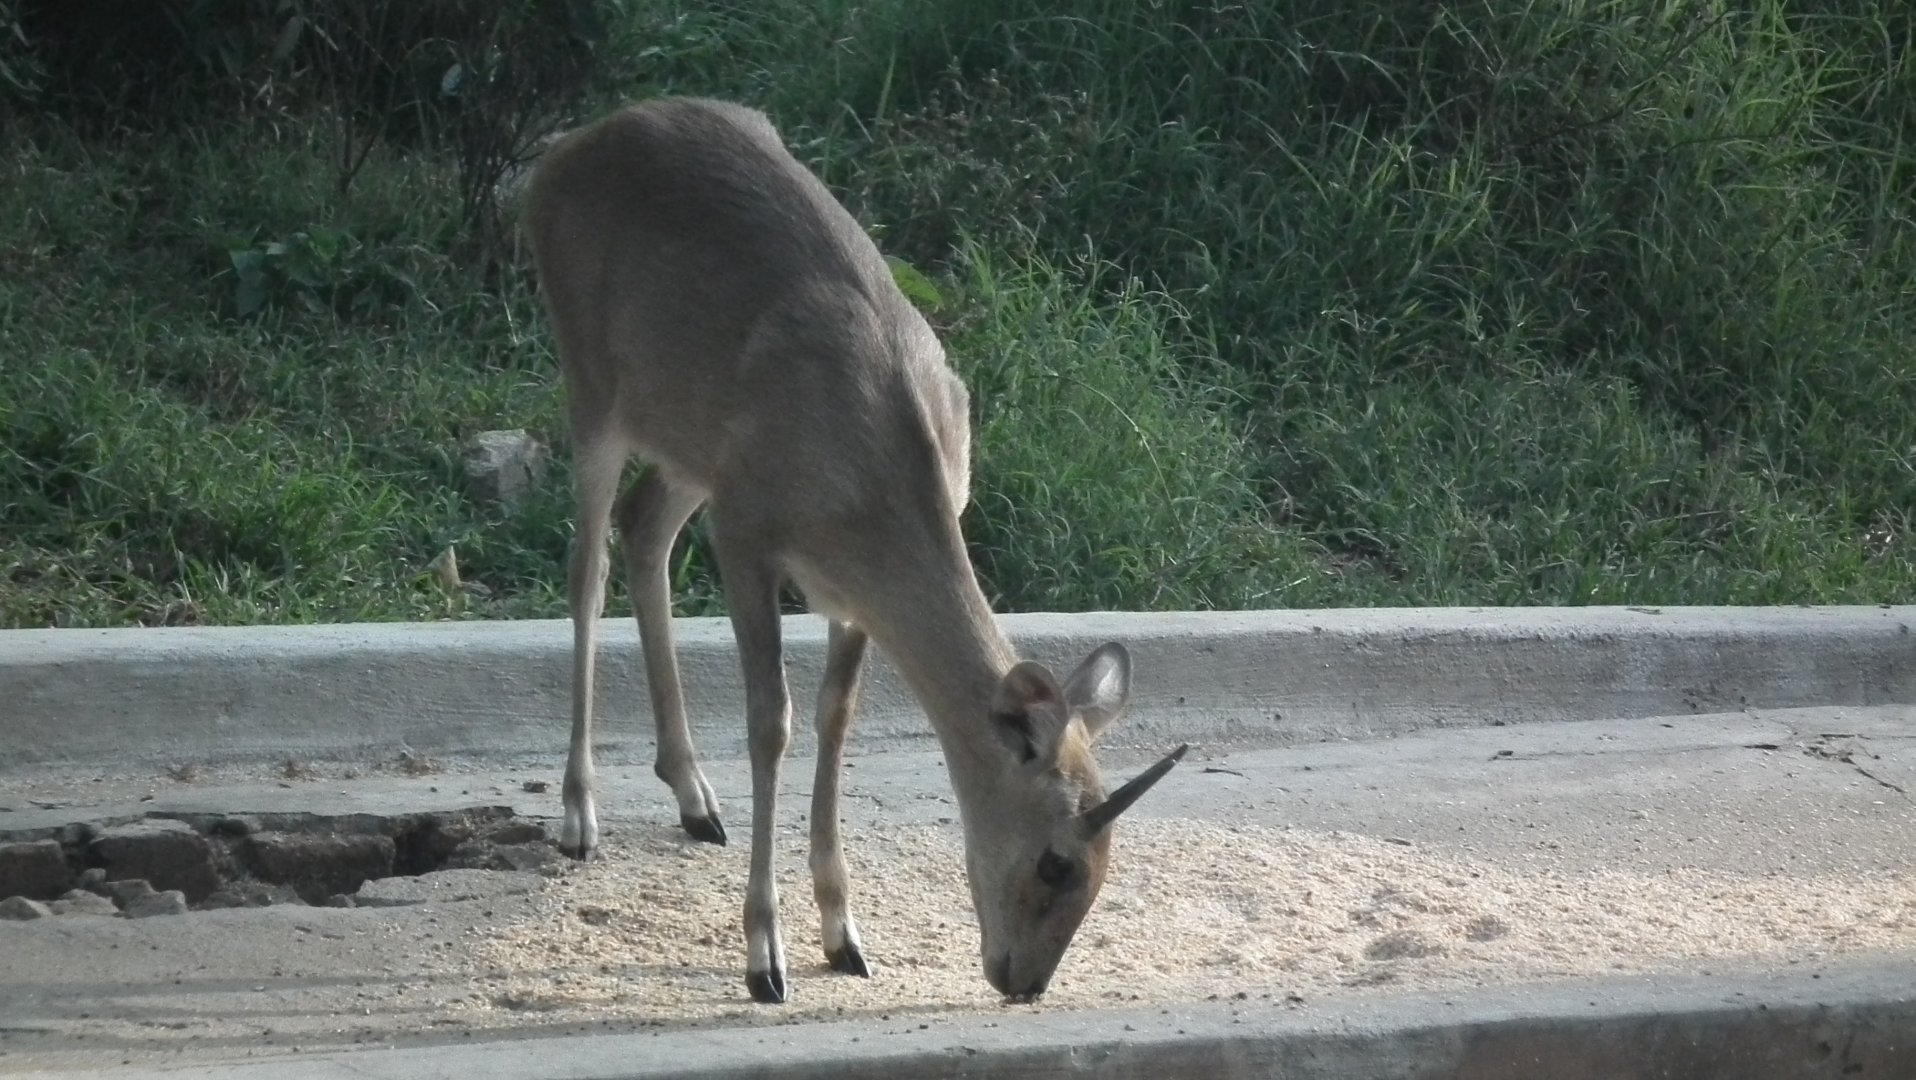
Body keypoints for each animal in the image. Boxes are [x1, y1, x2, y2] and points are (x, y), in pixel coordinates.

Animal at [522, 96, 1187, 1005]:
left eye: (1106, 863)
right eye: (1057, 862)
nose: (1025, 981)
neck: (872, 489)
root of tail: (561, 154)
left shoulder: (844, 589)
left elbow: (837, 719)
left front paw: (844, 938)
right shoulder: (749, 529)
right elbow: (772, 722)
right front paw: (764, 959)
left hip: (690, 439)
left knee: (644, 523)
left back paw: (694, 797)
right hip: (589, 380)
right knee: (584, 565)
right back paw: (578, 813)